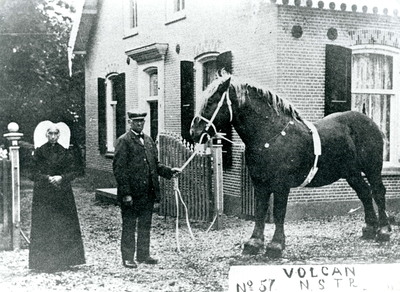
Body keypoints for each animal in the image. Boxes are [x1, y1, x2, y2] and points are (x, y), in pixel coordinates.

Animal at [191, 74, 390, 258]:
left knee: (378, 192)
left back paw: (384, 231)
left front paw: (276, 245)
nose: (194, 132)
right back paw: (370, 229)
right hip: (352, 173)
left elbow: (279, 212)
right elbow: (260, 211)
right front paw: (254, 243)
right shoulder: (260, 184)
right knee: (364, 192)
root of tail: (369, 120)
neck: (271, 135)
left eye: (211, 101)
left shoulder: (281, 185)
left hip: (372, 169)